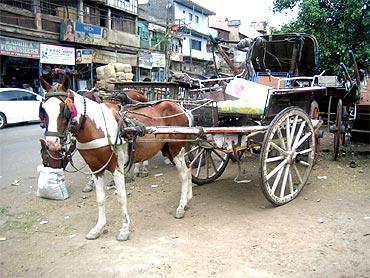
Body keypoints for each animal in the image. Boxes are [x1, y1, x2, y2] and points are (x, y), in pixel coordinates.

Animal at [39, 74, 192, 241]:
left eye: (63, 108)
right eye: (43, 110)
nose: (52, 142)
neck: (96, 127)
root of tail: (182, 109)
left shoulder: (117, 168)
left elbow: (121, 197)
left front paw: (124, 229)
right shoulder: (96, 169)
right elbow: (100, 199)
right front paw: (98, 228)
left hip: (176, 149)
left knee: (184, 175)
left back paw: (180, 206)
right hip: (169, 150)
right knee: (189, 168)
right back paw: (187, 199)